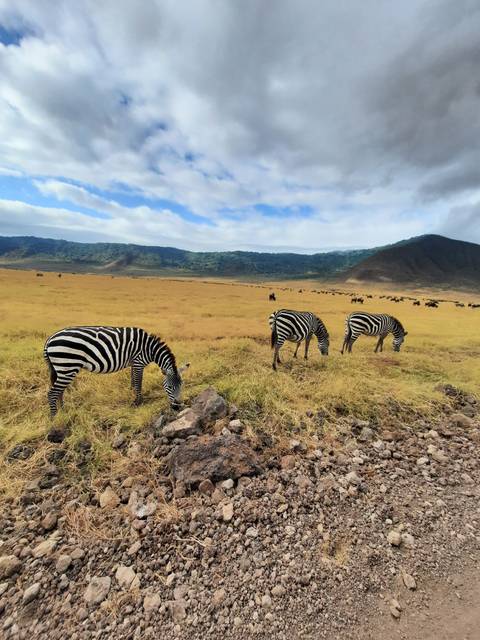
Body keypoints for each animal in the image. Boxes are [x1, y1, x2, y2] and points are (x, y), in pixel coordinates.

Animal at [44, 326, 189, 417]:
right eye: (169, 386)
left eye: (182, 385)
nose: (177, 407)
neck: (150, 349)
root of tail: (50, 339)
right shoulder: (138, 362)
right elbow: (139, 382)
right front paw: (138, 402)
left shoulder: (133, 363)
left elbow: (133, 380)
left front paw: (131, 393)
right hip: (67, 366)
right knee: (52, 393)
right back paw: (54, 417)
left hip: (62, 369)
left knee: (59, 391)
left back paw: (63, 411)